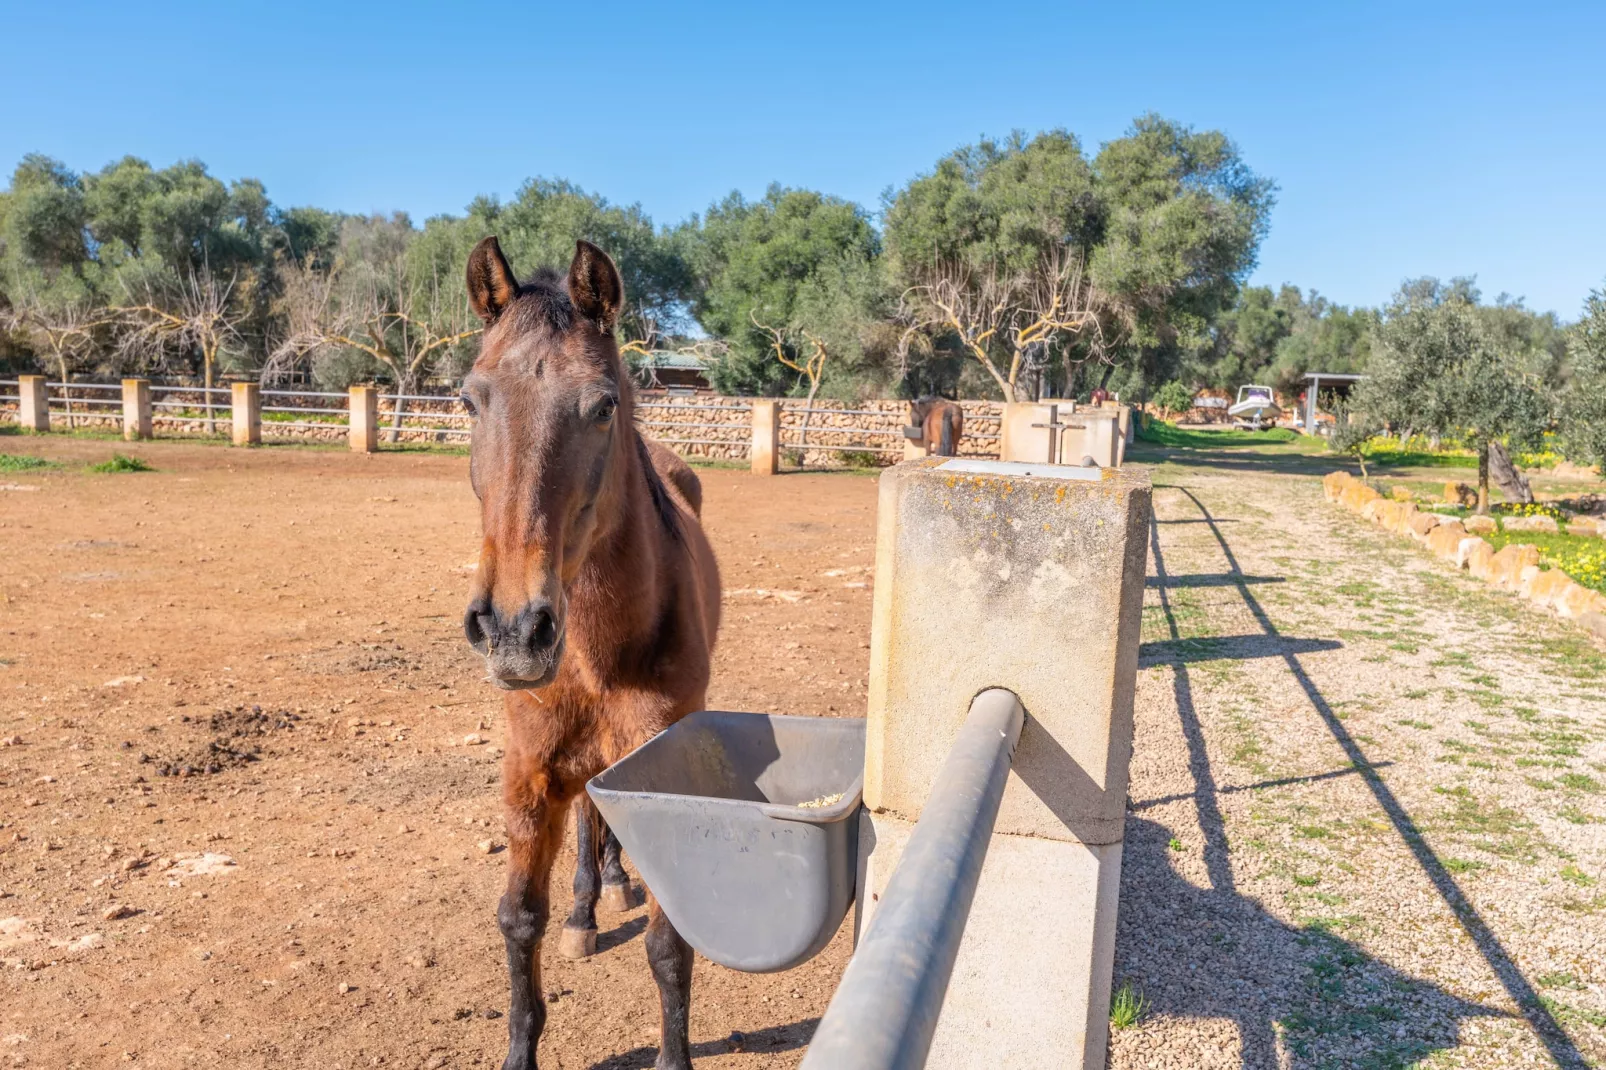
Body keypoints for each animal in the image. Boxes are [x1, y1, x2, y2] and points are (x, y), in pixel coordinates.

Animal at [459, 236, 722, 1066]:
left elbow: (671, 949)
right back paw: (587, 904)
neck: (599, 650)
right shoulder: (528, 773)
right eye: (469, 401)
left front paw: (674, 1056)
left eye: (603, 404)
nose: (514, 630)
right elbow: (518, 919)